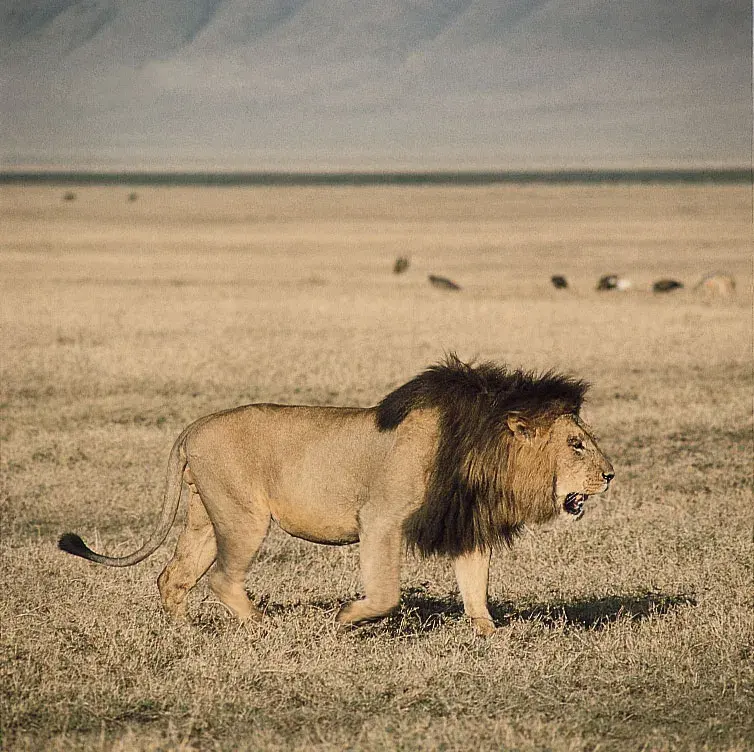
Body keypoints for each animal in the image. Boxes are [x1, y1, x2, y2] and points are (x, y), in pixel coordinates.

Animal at [59, 355, 614, 635]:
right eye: (576, 443)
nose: (610, 475)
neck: (480, 449)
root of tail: (193, 427)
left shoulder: (463, 521)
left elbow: (475, 586)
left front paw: (490, 636)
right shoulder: (381, 519)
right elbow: (386, 593)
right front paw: (347, 618)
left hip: (204, 516)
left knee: (172, 576)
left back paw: (185, 632)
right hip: (244, 516)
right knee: (219, 578)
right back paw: (261, 627)